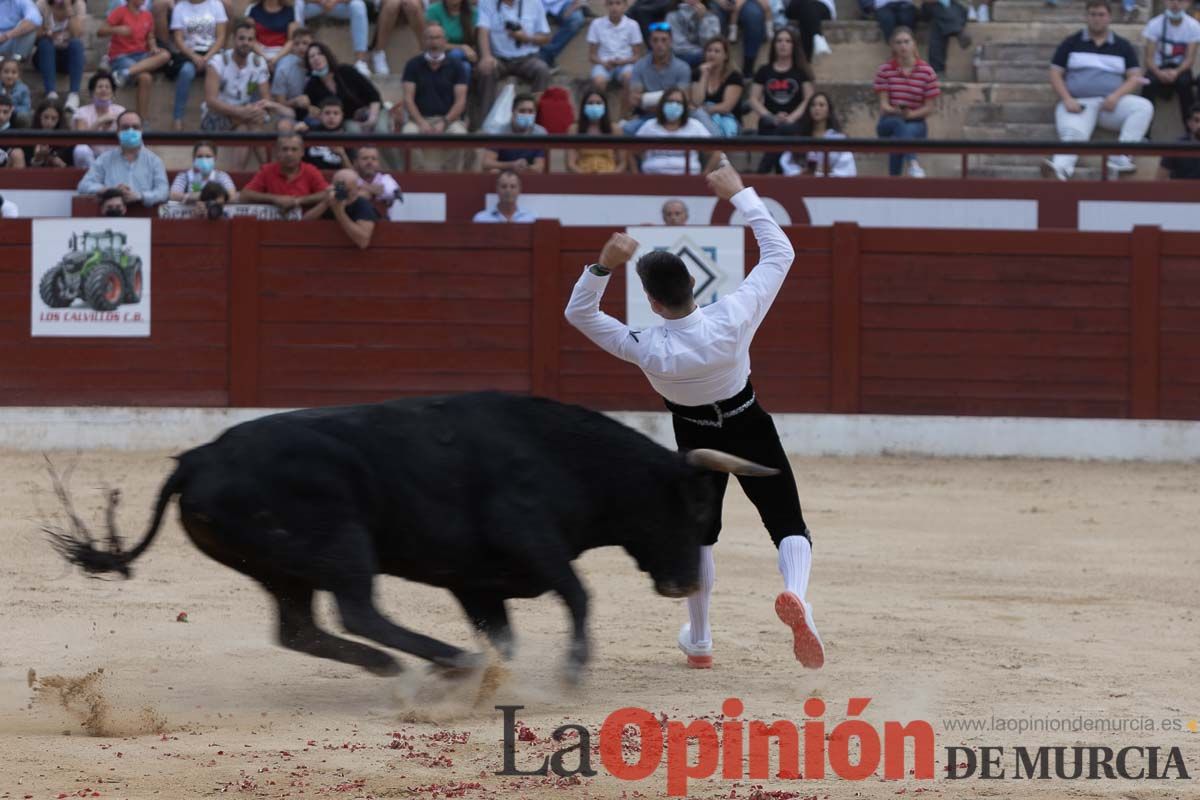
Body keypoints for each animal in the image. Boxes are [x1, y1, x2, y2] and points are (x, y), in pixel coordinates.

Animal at [49, 393, 777, 681]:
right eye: (692, 506)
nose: (686, 581)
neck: (571, 459)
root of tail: (196, 457)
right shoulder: (530, 540)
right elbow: (578, 596)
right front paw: (570, 672)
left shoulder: (476, 582)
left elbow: (509, 633)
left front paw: (507, 675)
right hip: (343, 543)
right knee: (358, 610)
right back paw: (444, 660)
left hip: (280, 566)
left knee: (301, 629)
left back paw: (404, 666)